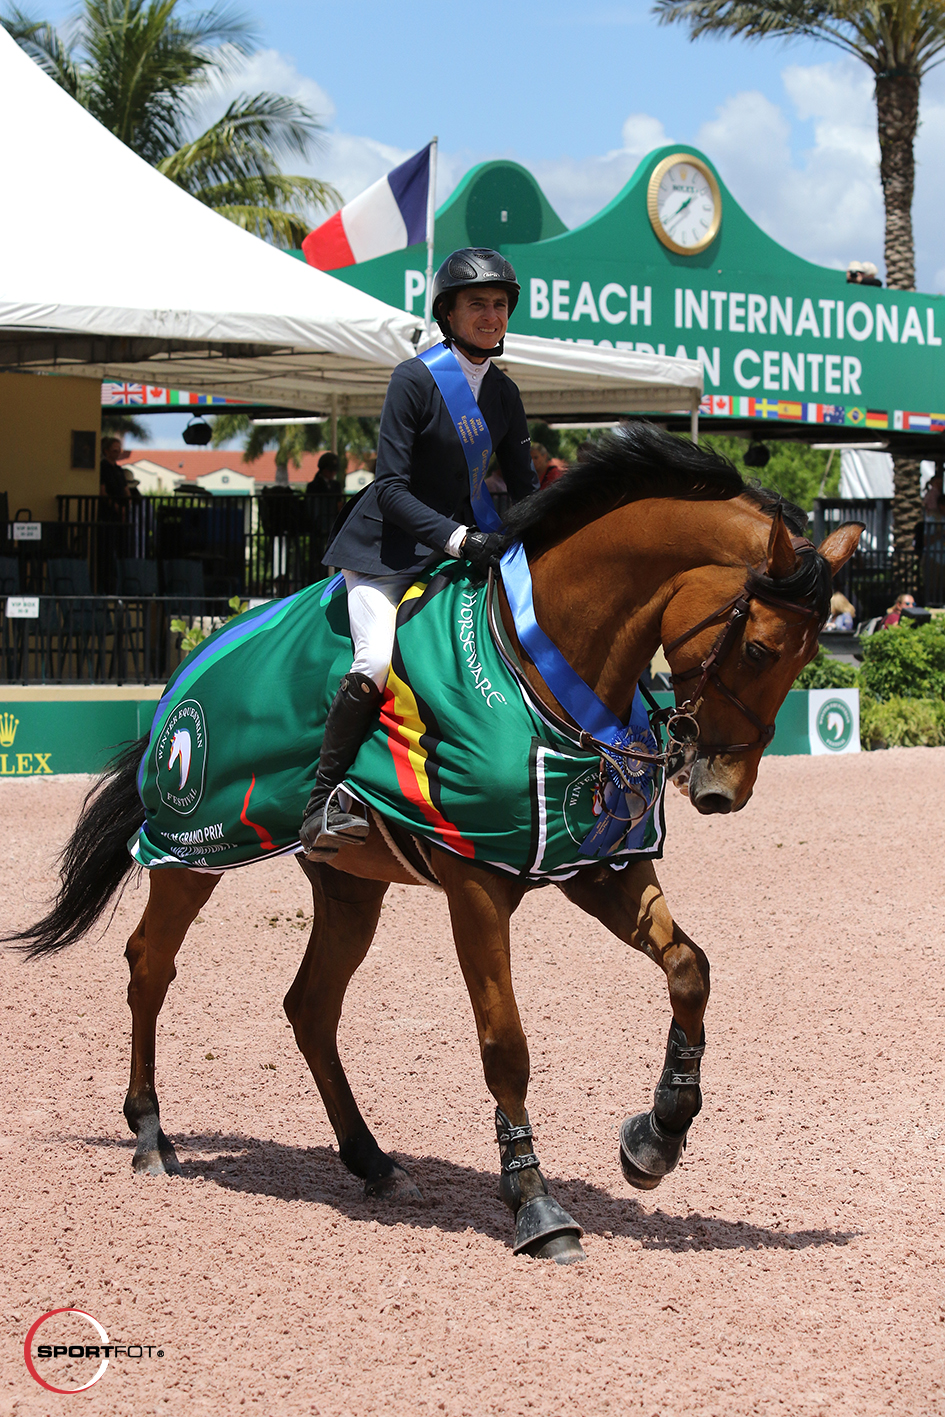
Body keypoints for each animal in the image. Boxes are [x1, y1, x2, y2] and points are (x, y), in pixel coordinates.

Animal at [9, 425, 867, 1269]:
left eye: (805, 657)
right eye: (758, 649)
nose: (723, 790)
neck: (546, 663)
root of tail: (181, 675)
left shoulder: (595, 865)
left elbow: (690, 969)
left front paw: (657, 1135)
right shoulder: (476, 884)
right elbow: (505, 1043)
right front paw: (536, 1203)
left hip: (349, 883)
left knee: (310, 1005)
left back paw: (372, 1161)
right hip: (191, 852)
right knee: (150, 965)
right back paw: (152, 1134)